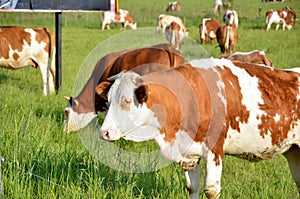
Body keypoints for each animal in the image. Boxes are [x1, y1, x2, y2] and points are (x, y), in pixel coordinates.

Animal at [98, 58, 300, 199]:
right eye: (108, 100)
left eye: (127, 100)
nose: (104, 132)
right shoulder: (188, 153)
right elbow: (191, 187)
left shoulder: (214, 151)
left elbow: (211, 190)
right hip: (293, 151)